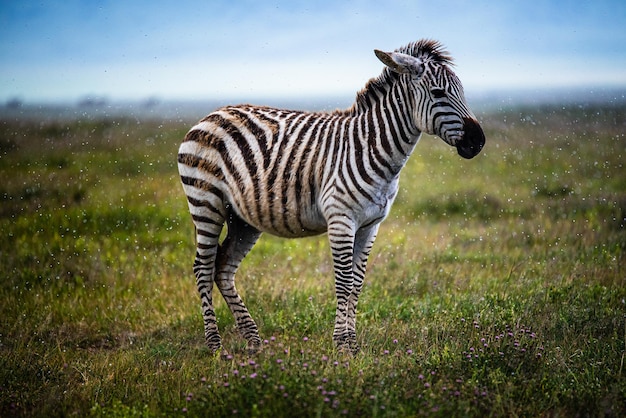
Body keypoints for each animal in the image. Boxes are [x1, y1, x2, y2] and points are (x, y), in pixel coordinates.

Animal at [178, 38, 486, 356]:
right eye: (438, 93)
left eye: (462, 91)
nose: (478, 142)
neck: (374, 148)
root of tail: (211, 115)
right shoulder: (341, 220)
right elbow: (343, 281)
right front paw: (342, 345)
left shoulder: (370, 225)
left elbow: (357, 283)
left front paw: (353, 345)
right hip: (206, 202)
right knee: (203, 267)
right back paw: (215, 345)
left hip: (243, 218)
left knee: (223, 268)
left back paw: (253, 340)